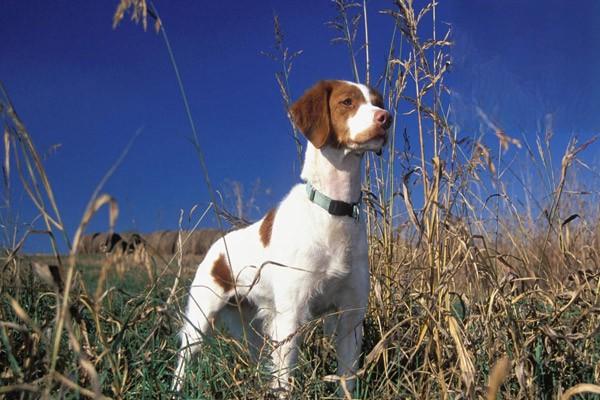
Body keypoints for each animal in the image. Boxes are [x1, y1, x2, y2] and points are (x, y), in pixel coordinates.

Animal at [171, 79, 392, 396]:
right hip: (201, 317)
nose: (386, 118)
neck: (332, 210)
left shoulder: (351, 315)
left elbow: (347, 378)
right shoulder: (290, 316)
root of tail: (215, 247)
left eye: (377, 102)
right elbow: (285, 380)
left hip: (252, 325)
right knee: (184, 358)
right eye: (347, 102)